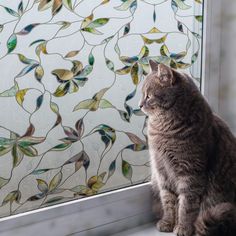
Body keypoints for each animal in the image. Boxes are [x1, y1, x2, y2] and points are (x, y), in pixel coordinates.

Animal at [139, 60, 236, 235]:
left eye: (149, 96)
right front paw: (168, 223)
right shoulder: (162, 171)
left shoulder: (190, 174)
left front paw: (183, 227)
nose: (139, 105)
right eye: (142, 94)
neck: (163, 129)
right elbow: (168, 201)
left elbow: (186, 206)